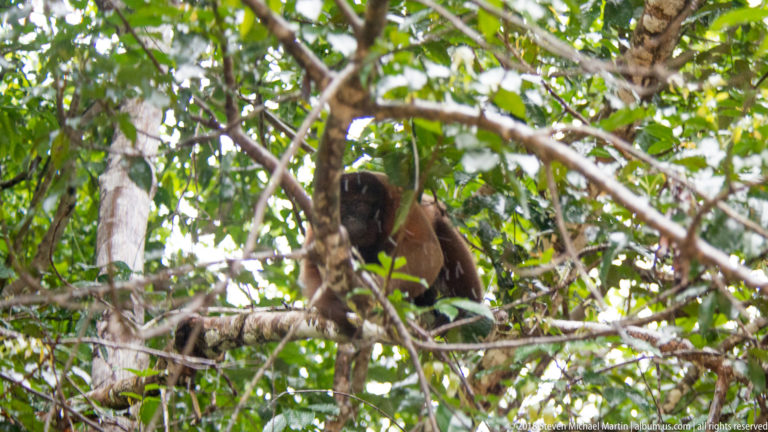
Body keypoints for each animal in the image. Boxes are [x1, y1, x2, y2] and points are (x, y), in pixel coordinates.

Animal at [300, 171, 483, 334]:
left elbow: (425, 248)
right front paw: (327, 313)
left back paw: (466, 305)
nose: (351, 219)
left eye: (360, 205)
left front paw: (378, 293)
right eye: (343, 207)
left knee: (446, 238)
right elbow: (311, 265)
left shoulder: (398, 199)